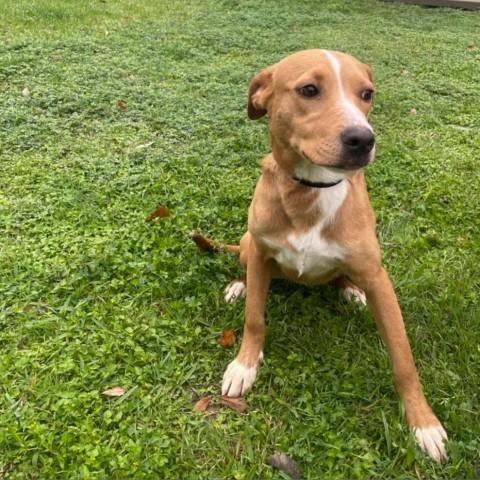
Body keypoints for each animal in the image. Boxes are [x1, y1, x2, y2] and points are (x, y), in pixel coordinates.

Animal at [191, 48, 446, 462]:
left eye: (367, 93)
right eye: (309, 90)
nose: (363, 139)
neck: (312, 188)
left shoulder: (379, 277)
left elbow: (403, 358)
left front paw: (423, 422)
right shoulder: (260, 253)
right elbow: (254, 320)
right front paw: (244, 366)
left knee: (344, 276)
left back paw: (350, 290)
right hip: (247, 244)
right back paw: (239, 286)